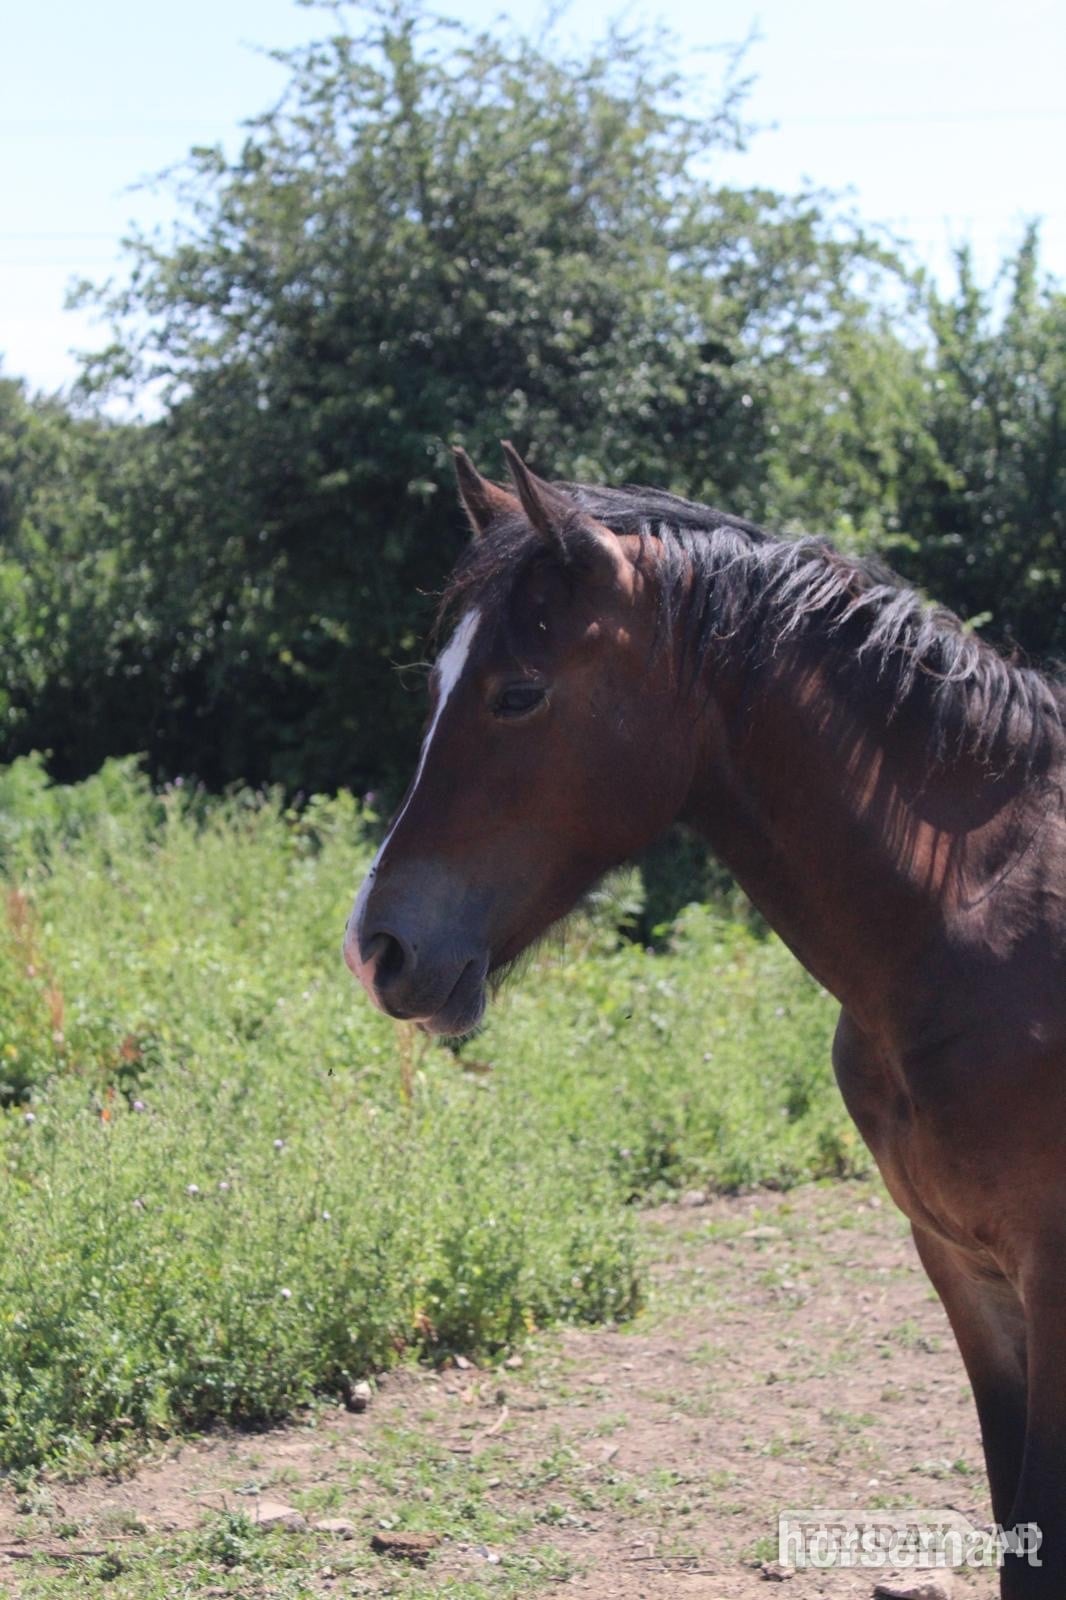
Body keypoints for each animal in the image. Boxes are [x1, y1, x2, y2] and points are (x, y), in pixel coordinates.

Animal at [345, 443, 1066, 1594]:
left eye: (519, 693)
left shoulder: (1052, 1277)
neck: (971, 924)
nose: (378, 949)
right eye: (437, 684)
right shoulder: (966, 1272)